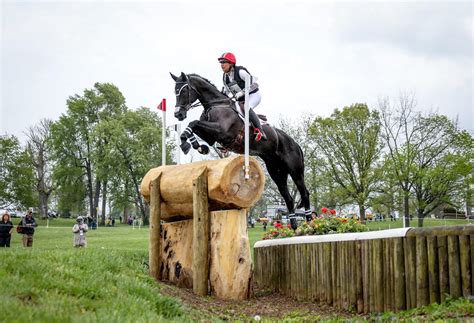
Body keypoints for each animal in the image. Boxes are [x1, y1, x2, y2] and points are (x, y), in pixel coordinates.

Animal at [170, 72, 312, 227]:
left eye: (184, 91)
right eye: (175, 92)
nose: (178, 115)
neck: (216, 104)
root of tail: (295, 143)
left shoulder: (221, 131)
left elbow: (193, 123)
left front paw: (188, 144)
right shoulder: (211, 136)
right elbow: (193, 126)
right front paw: (197, 146)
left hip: (295, 171)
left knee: (304, 193)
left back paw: (310, 222)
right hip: (276, 171)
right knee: (288, 198)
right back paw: (293, 228)